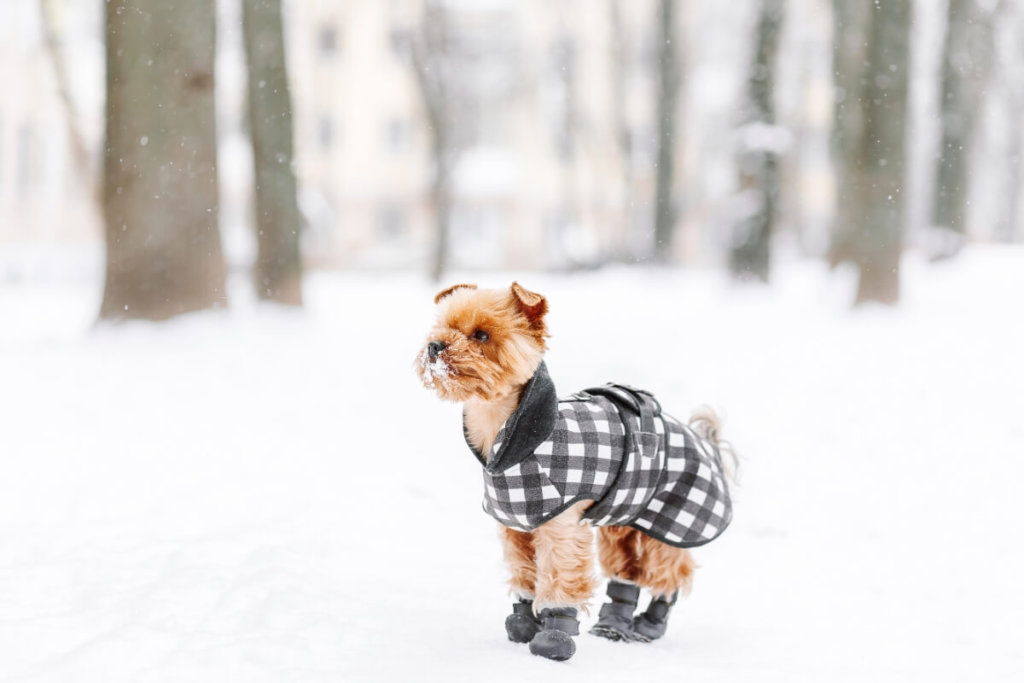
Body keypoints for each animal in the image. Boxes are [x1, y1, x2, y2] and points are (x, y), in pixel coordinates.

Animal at [411, 282, 733, 663]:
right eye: (442, 326)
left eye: (482, 334)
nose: (435, 345)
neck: (507, 437)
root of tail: (707, 445)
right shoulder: (515, 527)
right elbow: (524, 574)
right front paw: (523, 623)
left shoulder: (561, 527)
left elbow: (560, 578)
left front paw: (554, 638)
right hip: (623, 520)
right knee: (627, 572)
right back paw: (613, 626)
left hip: (666, 523)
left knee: (671, 575)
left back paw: (650, 624)